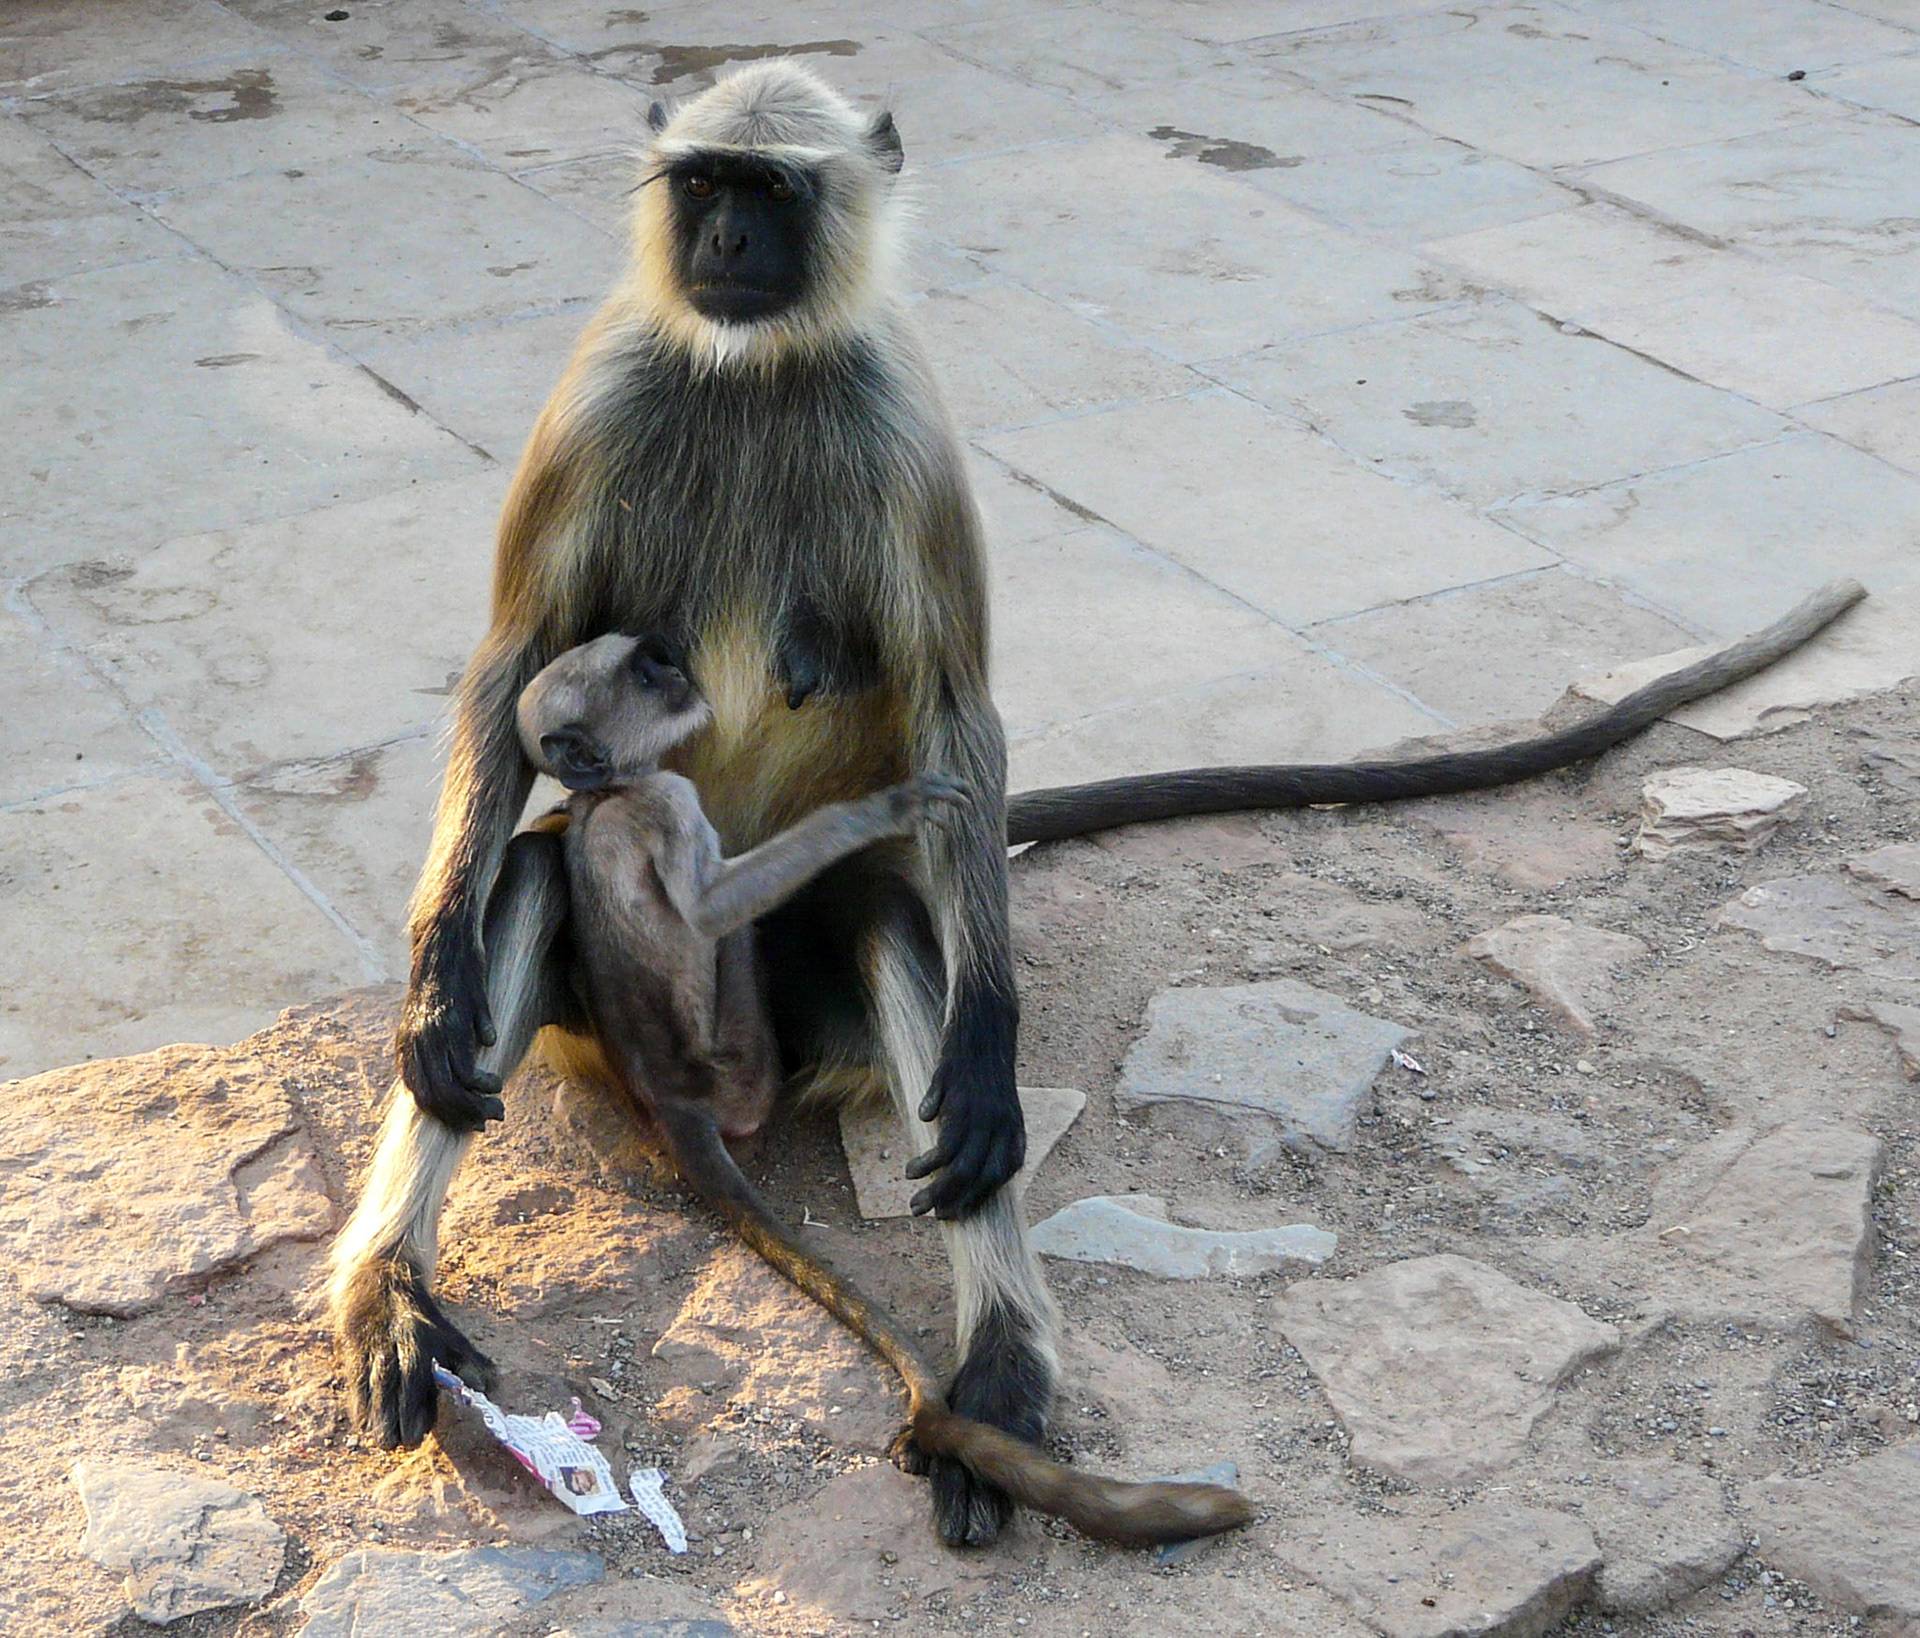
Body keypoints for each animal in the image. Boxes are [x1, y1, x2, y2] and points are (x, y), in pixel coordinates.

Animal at [506, 631, 1251, 1546]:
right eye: (642, 675)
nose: (675, 665)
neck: (608, 794)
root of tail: (674, 1101)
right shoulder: (669, 801)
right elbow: (711, 906)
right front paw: (879, 813)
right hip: (750, 1062)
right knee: (781, 924)